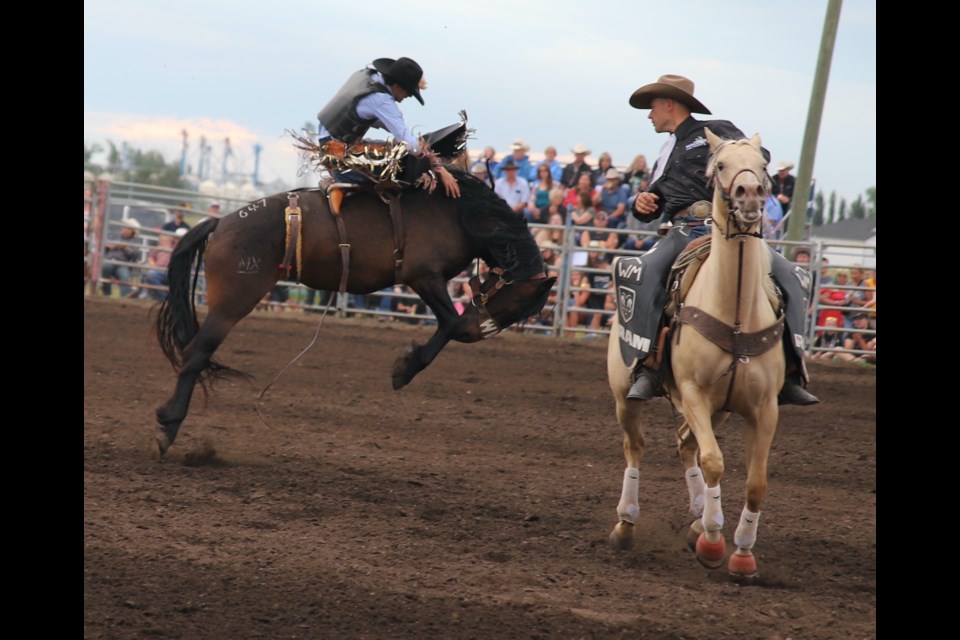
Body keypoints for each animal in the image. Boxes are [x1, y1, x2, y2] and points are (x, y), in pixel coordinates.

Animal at [152, 170, 556, 458]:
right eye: (517, 305)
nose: (477, 333)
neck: (458, 213)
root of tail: (220, 223)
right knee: (195, 354)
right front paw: (404, 369)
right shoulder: (423, 275)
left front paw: (405, 366)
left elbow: (448, 324)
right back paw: (167, 427)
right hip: (232, 302)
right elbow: (451, 322)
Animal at [612, 131, 784, 580]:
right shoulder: (692, 392)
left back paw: (695, 514)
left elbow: (756, 482)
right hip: (625, 396)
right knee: (636, 448)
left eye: (763, 164)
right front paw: (712, 540)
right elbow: (714, 462)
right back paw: (627, 523)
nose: (749, 194)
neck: (736, 312)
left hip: (719, 410)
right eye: (721, 165)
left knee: (683, 445)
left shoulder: (764, 408)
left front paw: (742, 552)